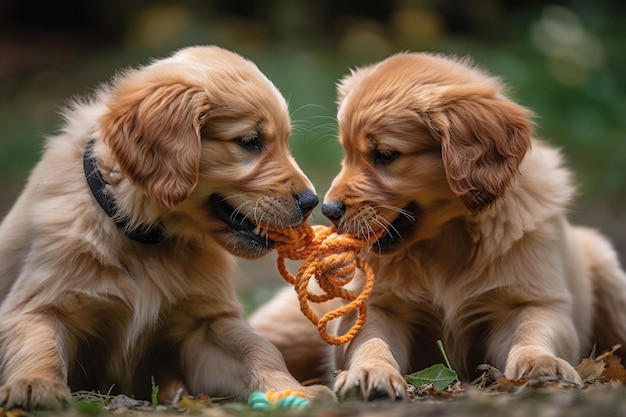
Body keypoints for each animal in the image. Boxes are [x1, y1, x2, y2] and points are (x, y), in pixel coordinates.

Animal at [0, 44, 334, 406]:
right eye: (249, 141)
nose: (311, 202)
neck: (145, 239)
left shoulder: (206, 325)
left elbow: (258, 351)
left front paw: (294, 390)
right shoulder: (45, 302)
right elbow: (37, 339)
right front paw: (34, 384)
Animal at [251, 52, 624, 400]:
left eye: (385, 155)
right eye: (346, 152)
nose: (328, 210)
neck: (448, 237)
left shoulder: (532, 300)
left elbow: (533, 332)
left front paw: (541, 364)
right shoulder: (378, 307)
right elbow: (370, 341)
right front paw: (369, 373)